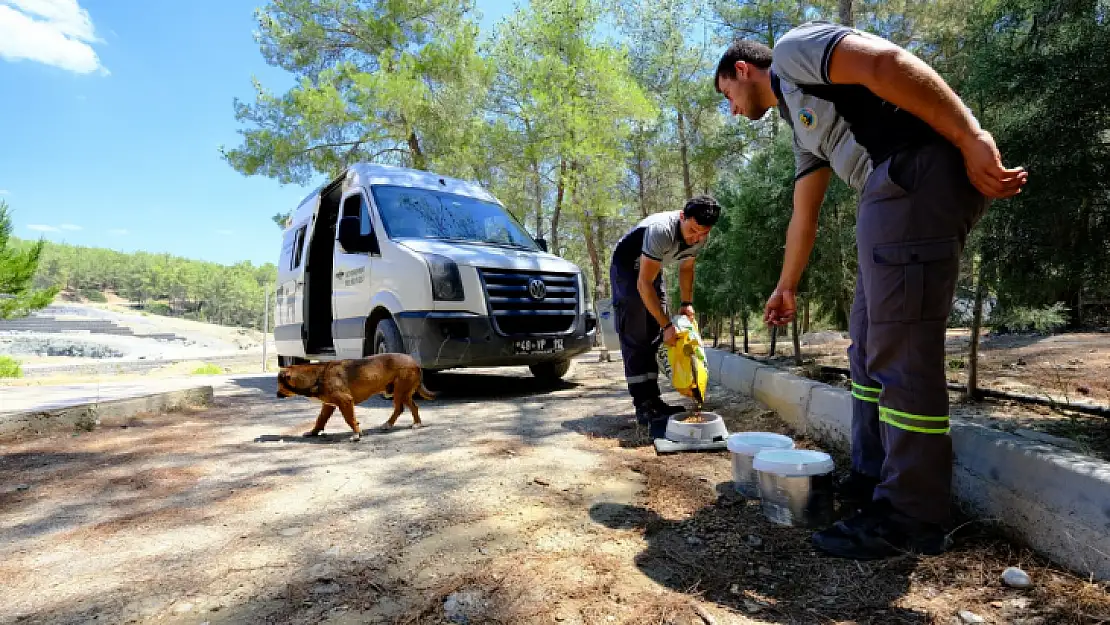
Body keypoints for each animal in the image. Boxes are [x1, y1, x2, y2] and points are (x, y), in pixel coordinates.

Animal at [275, 355, 435, 441]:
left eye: (279, 383)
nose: (276, 395)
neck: (316, 376)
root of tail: (415, 362)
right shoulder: (328, 405)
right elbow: (320, 420)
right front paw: (313, 432)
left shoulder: (345, 401)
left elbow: (350, 419)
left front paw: (357, 434)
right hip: (400, 392)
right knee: (404, 408)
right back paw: (391, 424)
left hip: (400, 391)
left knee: (408, 407)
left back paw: (414, 424)